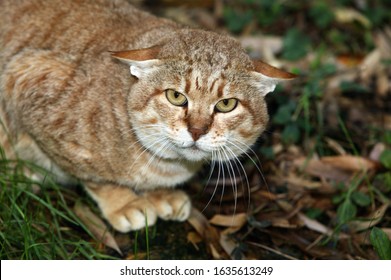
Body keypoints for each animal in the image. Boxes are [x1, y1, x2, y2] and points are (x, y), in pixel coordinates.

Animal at [0, 0, 294, 232]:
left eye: (226, 104)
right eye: (175, 96)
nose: (197, 130)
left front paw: (158, 194)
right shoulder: (24, 76)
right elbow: (93, 177)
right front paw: (123, 201)